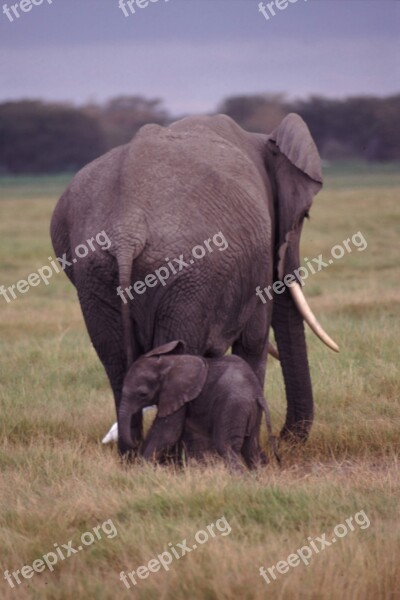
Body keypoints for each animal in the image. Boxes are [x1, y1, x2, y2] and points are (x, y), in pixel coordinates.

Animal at [50, 112, 338, 452]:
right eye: (305, 216)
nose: (285, 439)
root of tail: (126, 231)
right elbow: (253, 341)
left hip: (95, 276)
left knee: (116, 359)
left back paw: (132, 455)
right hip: (187, 275)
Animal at [117, 340, 276, 472]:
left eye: (142, 394)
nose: (135, 442)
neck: (169, 364)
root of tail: (257, 393)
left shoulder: (179, 395)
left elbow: (167, 433)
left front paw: (141, 471)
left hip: (234, 406)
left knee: (227, 447)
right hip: (252, 411)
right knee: (251, 448)